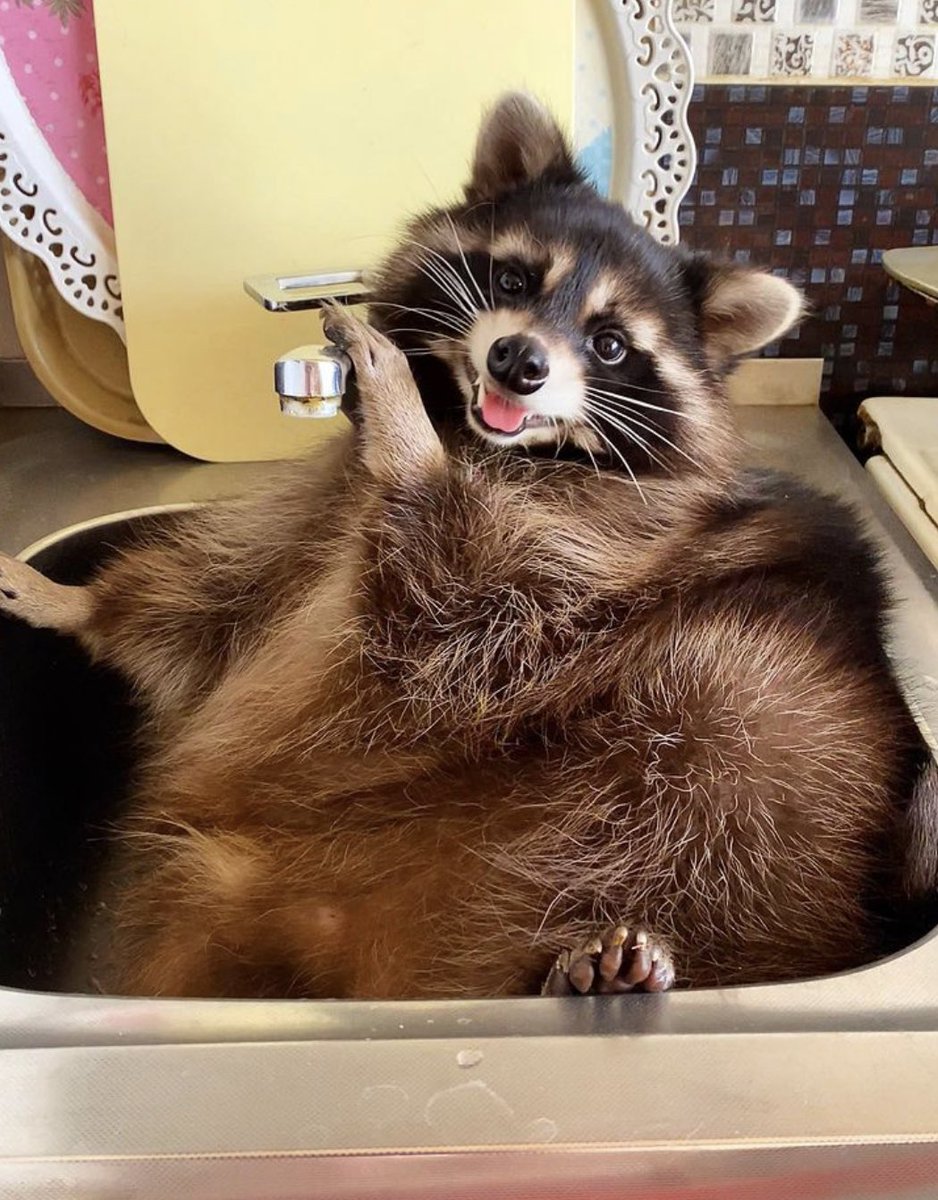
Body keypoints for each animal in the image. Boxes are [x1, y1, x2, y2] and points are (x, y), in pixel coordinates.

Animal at [0, 94, 932, 999]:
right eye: (515, 278)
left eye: (610, 343)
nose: (519, 360)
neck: (481, 436)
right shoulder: (316, 511)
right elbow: (213, 604)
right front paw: (83, 600)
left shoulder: (607, 548)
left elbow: (464, 617)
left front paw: (405, 437)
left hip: (759, 747)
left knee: (721, 749)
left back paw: (596, 960)